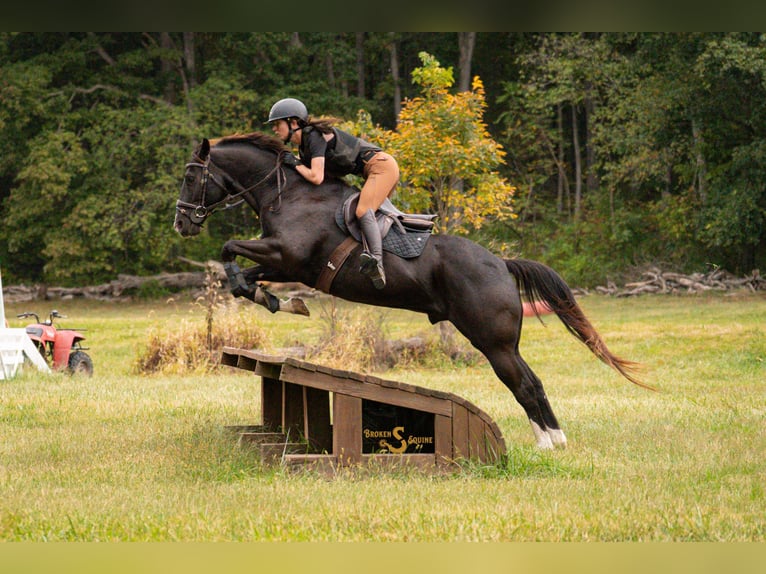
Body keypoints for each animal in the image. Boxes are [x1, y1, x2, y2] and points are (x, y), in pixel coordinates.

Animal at [174, 132, 649, 449]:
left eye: (191, 177)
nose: (181, 223)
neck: (287, 194)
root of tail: (501, 263)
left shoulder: (288, 256)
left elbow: (228, 249)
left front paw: (276, 298)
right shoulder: (285, 263)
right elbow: (244, 276)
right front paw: (280, 301)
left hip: (493, 342)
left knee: (525, 383)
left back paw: (550, 442)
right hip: (500, 342)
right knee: (531, 381)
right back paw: (554, 440)